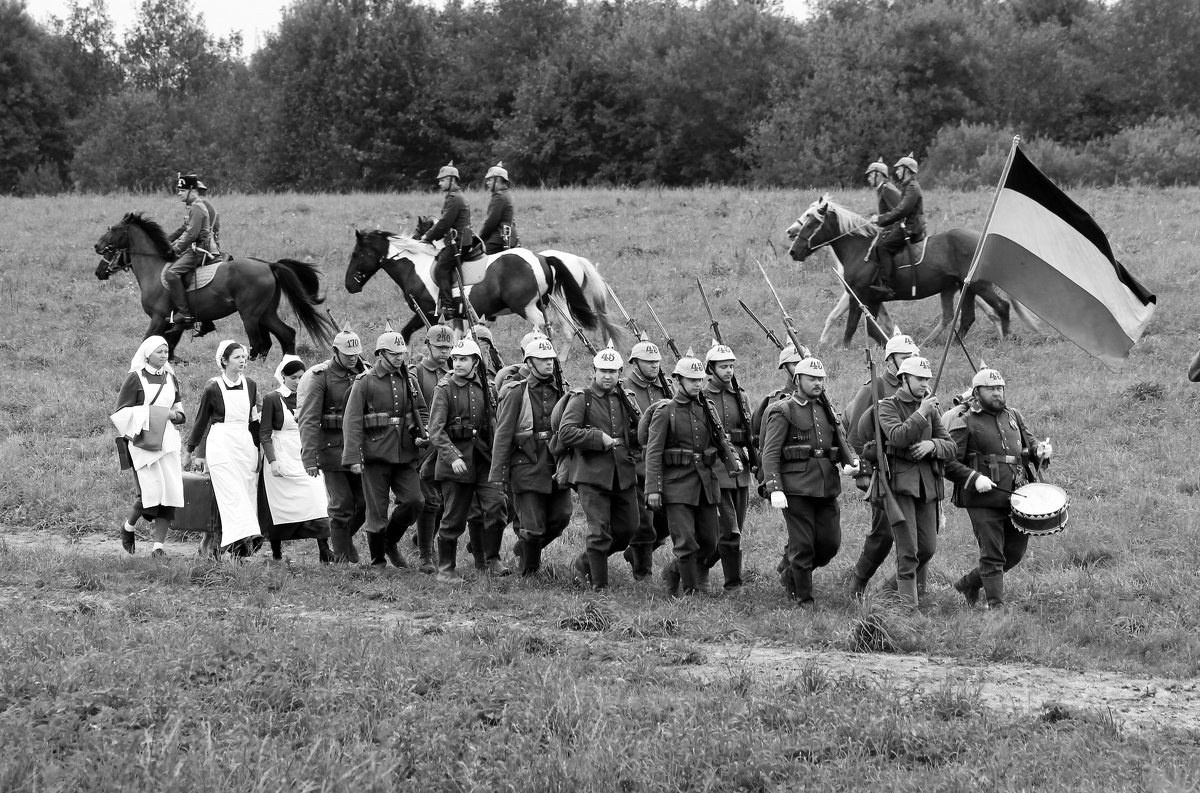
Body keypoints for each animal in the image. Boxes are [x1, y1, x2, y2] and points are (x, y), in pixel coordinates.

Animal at [94, 209, 333, 359]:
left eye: (113, 229)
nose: (97, 246)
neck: (154, 270)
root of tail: (268, 265)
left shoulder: (159, 318)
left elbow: (148, 342)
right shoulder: (172, 323)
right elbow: (168, 346)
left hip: (250, 315)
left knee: (260, 344)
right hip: (266, 314)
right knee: (286, 335)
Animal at [343, 224, 624, 345]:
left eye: (356, 254)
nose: (349, 286)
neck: (417, 267)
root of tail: (542, 258)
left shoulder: (429, 315)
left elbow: (404, 334)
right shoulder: (457, 316)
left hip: (528, 308)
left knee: (545, 331)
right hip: (550, 306)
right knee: (568, 331)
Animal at [792, 195, 1017, 345]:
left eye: (811, 222)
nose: (794, 251)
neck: (860, 249)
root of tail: (983, 240)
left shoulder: (858, 296)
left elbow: (852, 327)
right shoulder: (872, 300)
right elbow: (872, 329)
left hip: (979, 285)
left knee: (1002, 306)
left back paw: (1005, 338)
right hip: (964, 288)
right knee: (966, 318)